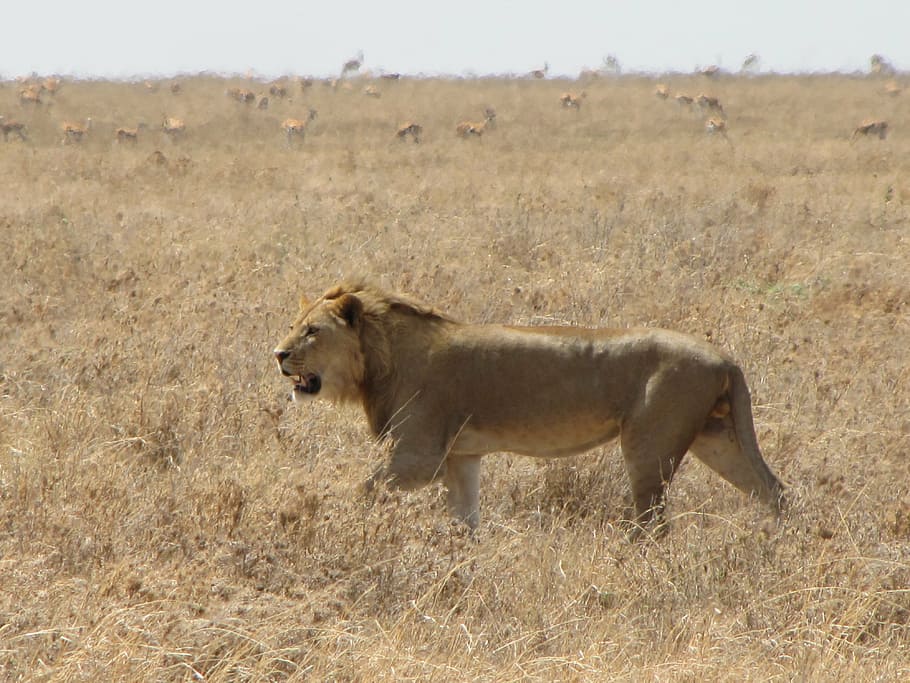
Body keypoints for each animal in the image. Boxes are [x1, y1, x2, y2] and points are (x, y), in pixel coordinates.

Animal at [274, 281, 784, 534]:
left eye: (312, 331)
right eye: (294, 325)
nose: (278, 354)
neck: (381, 358)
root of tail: (725, 358)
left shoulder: (419, 458)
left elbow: (360, 490)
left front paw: (324, 522)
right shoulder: (461, 458)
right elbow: (464, 522)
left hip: (649, 447)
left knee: (652, 524)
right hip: (718, 439)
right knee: (774, 491)